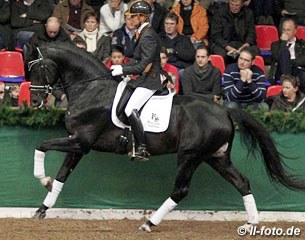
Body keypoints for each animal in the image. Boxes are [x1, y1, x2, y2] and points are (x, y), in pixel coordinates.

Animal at [25, 43, 304, 232]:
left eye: (38, 69)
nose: (36, 100)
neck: (91, 88)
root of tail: (225, 109)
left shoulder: (81, 141)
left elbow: (41, 146)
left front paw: (42, 179)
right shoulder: (79, 143)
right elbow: (62, 177)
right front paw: (42, 207)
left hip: (190, 155)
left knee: (180, 190)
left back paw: (149, 223)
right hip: (216, 157)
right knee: (242, 182)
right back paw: (252, 223)